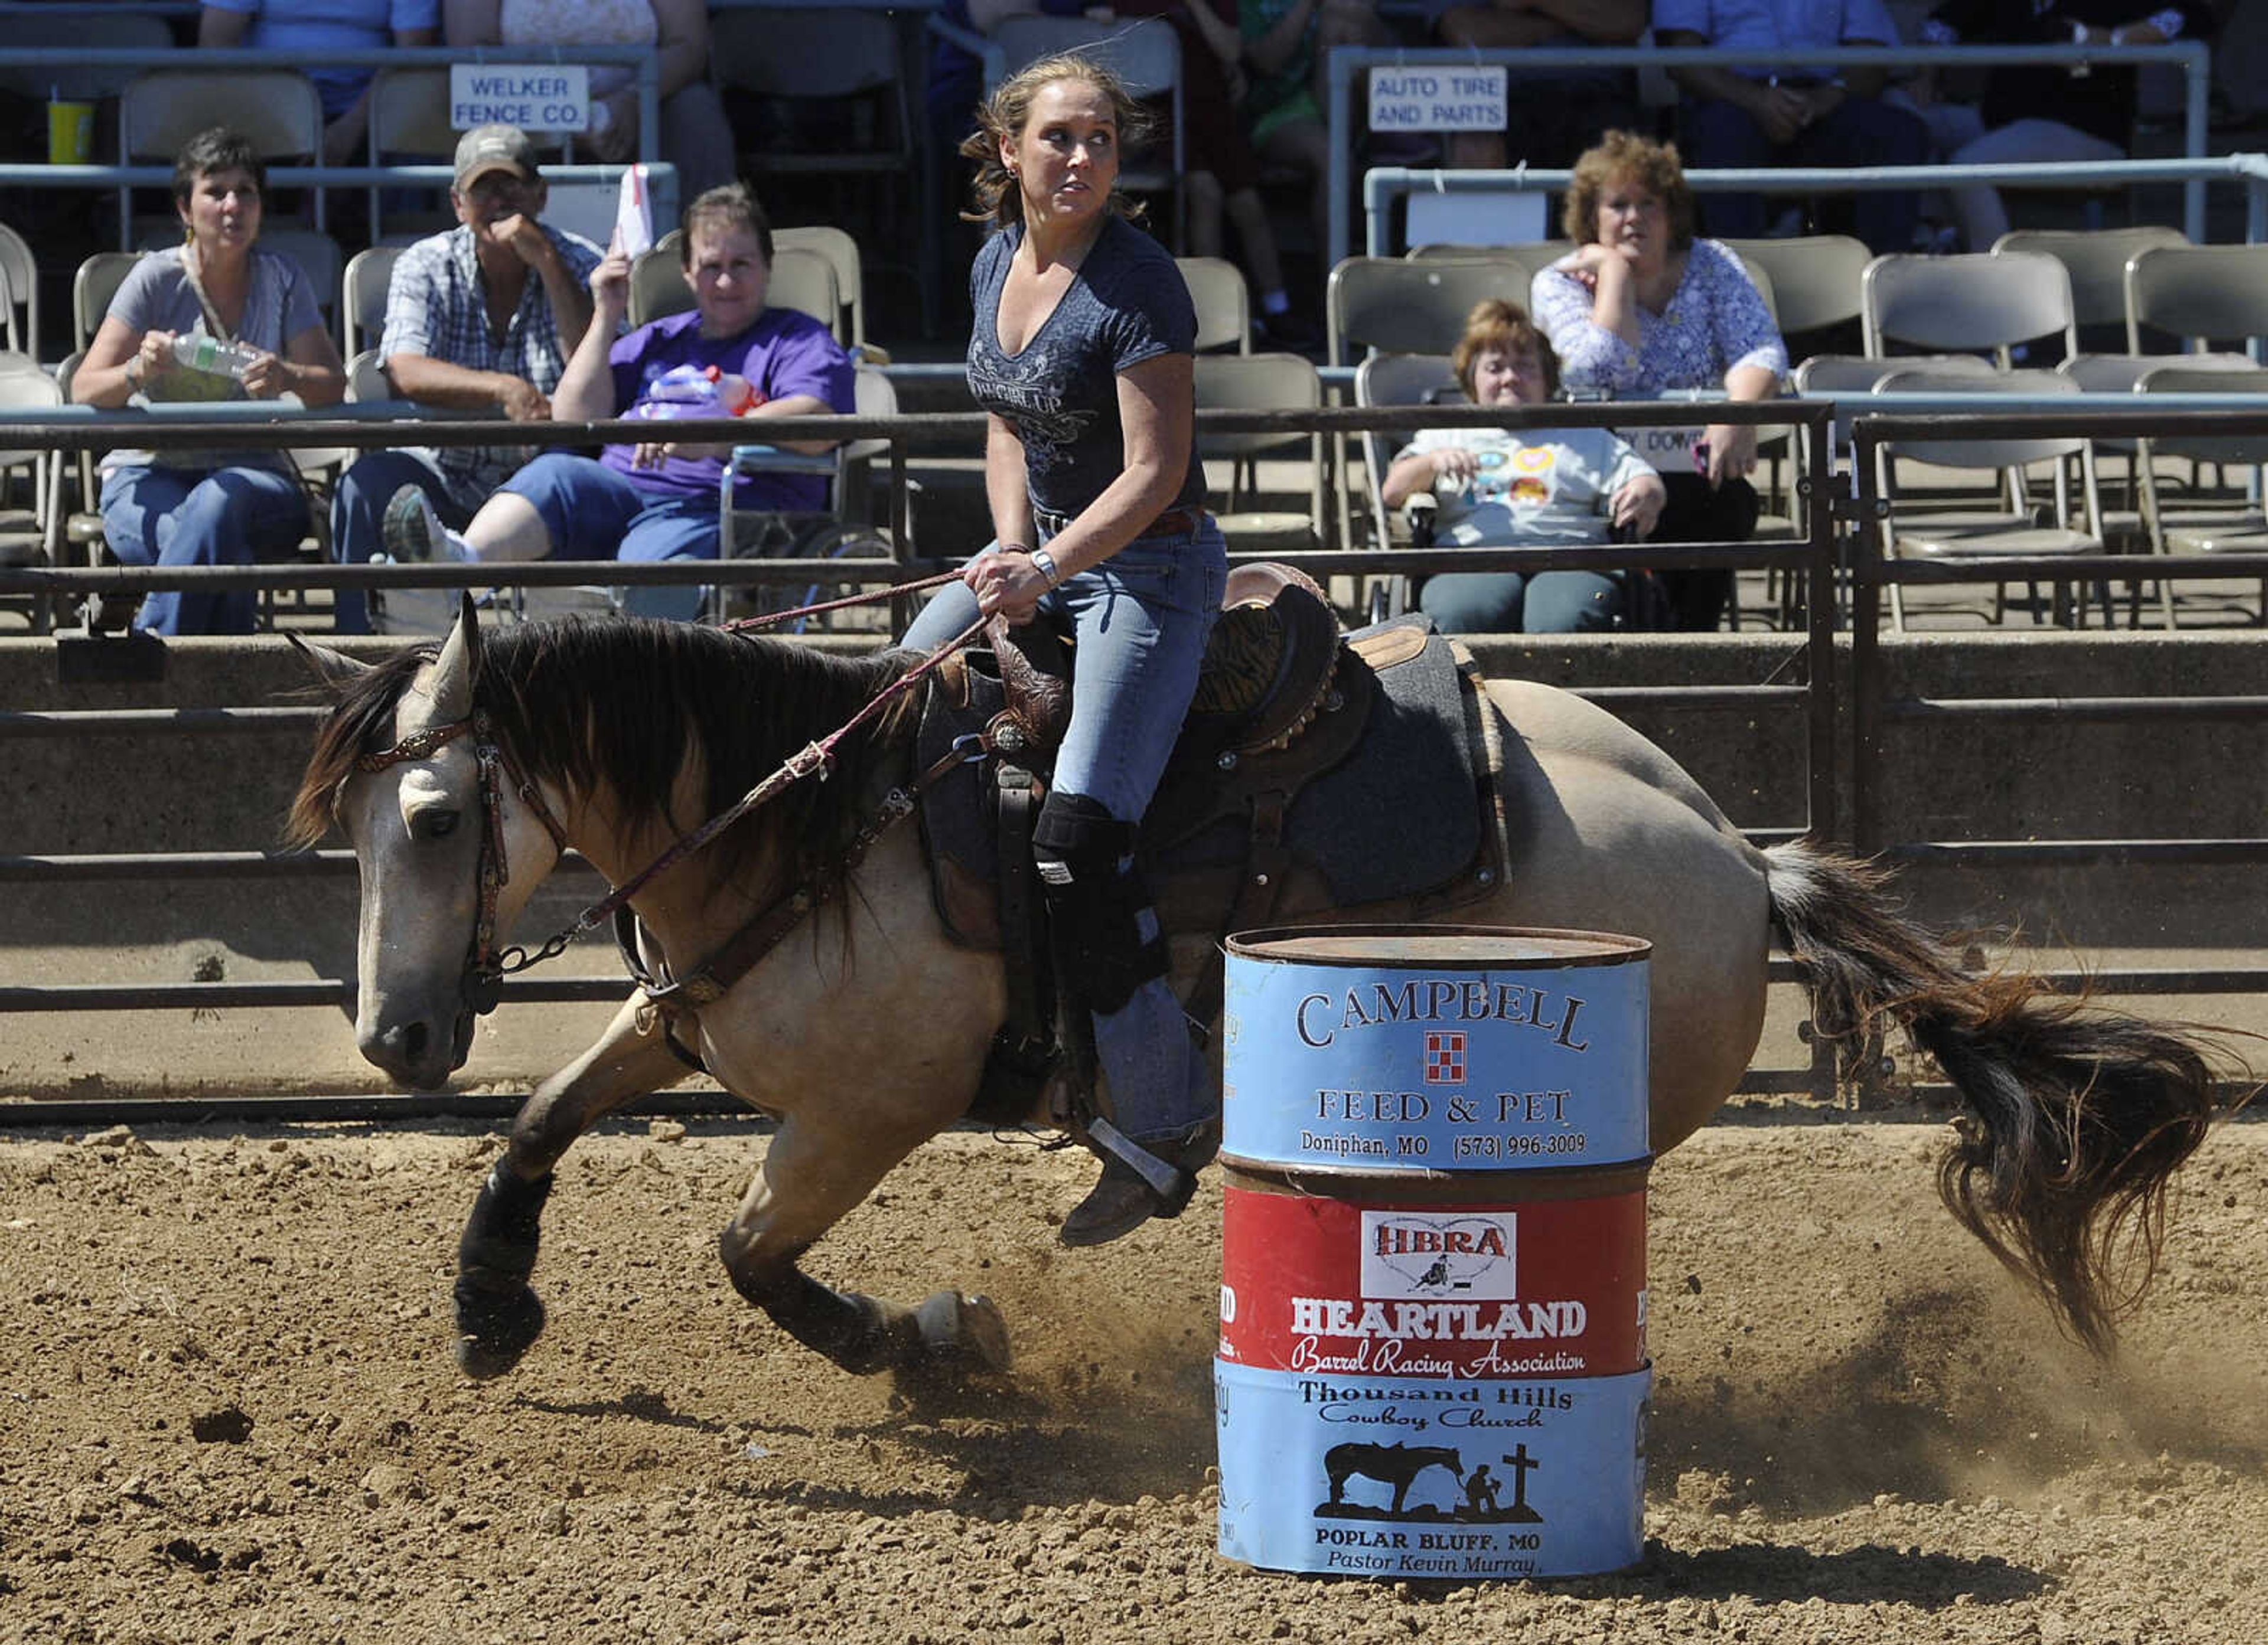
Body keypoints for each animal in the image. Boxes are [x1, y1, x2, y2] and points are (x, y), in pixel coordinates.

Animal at [288, 598, 2231, 1386]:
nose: (392, 1037)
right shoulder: (689, 1011)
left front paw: (936, 1342)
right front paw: (488, 1306)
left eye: (439, 817)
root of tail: (1739, 864)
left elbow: (749, 1256)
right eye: (348, 836)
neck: (808, 830)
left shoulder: (863, 1114)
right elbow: (539, 1125)